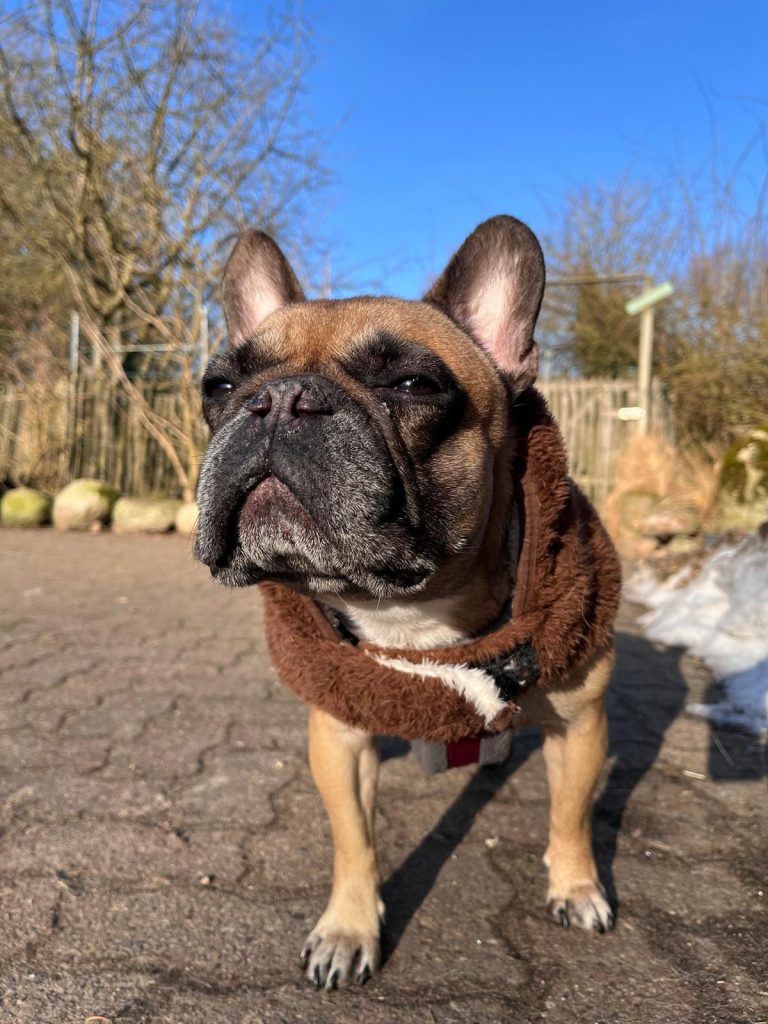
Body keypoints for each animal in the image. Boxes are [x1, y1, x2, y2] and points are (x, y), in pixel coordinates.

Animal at [194, 215, 620, 990]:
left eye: (414, 384)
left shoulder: (582, 726)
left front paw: (577, 886)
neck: (412, 606)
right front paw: (348, 928)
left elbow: (571, 816)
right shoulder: (339, 734)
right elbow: (354, 841)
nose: (277, 401)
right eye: (221, 384)